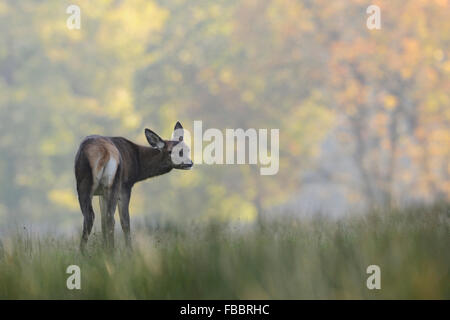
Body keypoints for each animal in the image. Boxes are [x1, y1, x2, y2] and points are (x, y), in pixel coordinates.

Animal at [73, 121, 192, 254]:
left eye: (187, 149)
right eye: (171, 151)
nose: (189, 163)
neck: (138, 166)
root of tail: (104, 153)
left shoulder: (101, 194)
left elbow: (102, 221)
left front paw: (104, 249)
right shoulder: (126, 186)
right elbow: (126, 222)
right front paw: (130, 251)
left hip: (89, 183)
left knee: (93, 216)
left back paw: (88, 252)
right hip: (113, 183)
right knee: (109, 218)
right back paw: (109, 252)